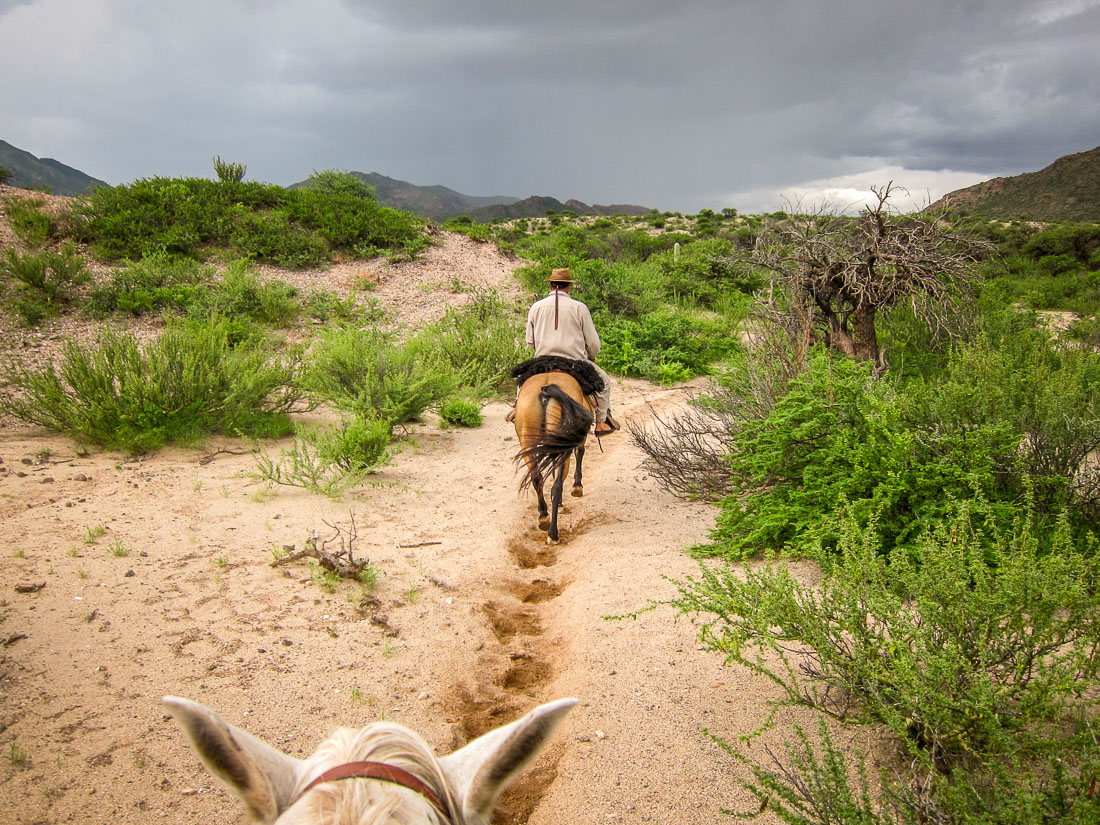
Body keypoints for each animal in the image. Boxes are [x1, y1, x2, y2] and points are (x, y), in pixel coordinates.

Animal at [512, 374, 594, 543]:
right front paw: (577, 486)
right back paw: (553, 533)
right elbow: (580, 452)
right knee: (557, 485)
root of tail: (547, 389)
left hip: (528, 443)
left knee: (537, 478)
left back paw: (544, 517)